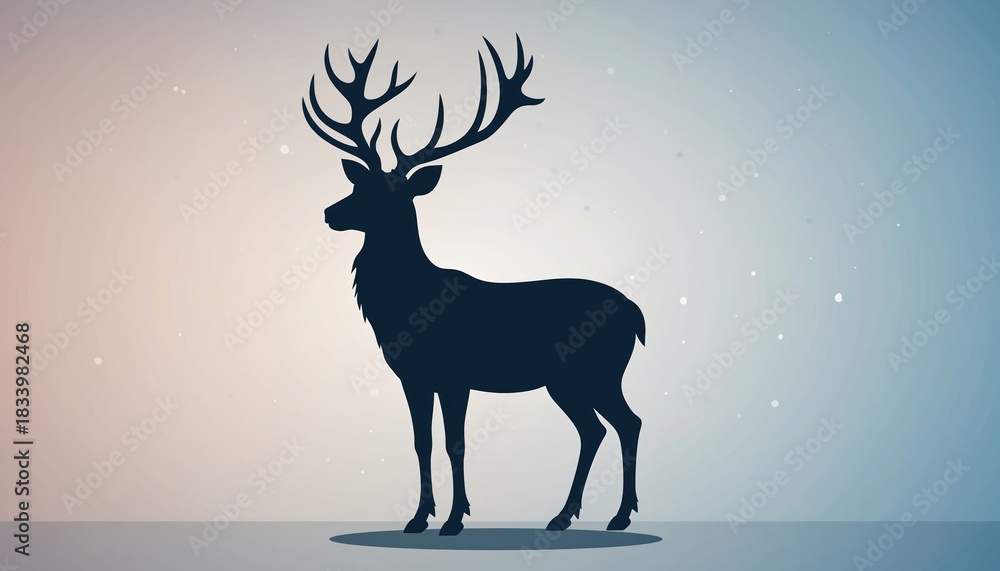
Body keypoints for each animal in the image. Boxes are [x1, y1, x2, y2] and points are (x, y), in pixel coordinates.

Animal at [302, 35, 645, 536]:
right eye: (359, 184)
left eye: (387, 193)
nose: (330, 212)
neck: (405, 307)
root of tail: (638, 314)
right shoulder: (413, 376)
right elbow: (421, 442)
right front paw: (418, 517)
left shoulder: (454, 374)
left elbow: (455, 443)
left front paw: (454, 519)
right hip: (569, 381)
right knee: (598, 428)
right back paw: (566, 515)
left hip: (593, 371)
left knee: (626, 423)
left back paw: (617, 516)